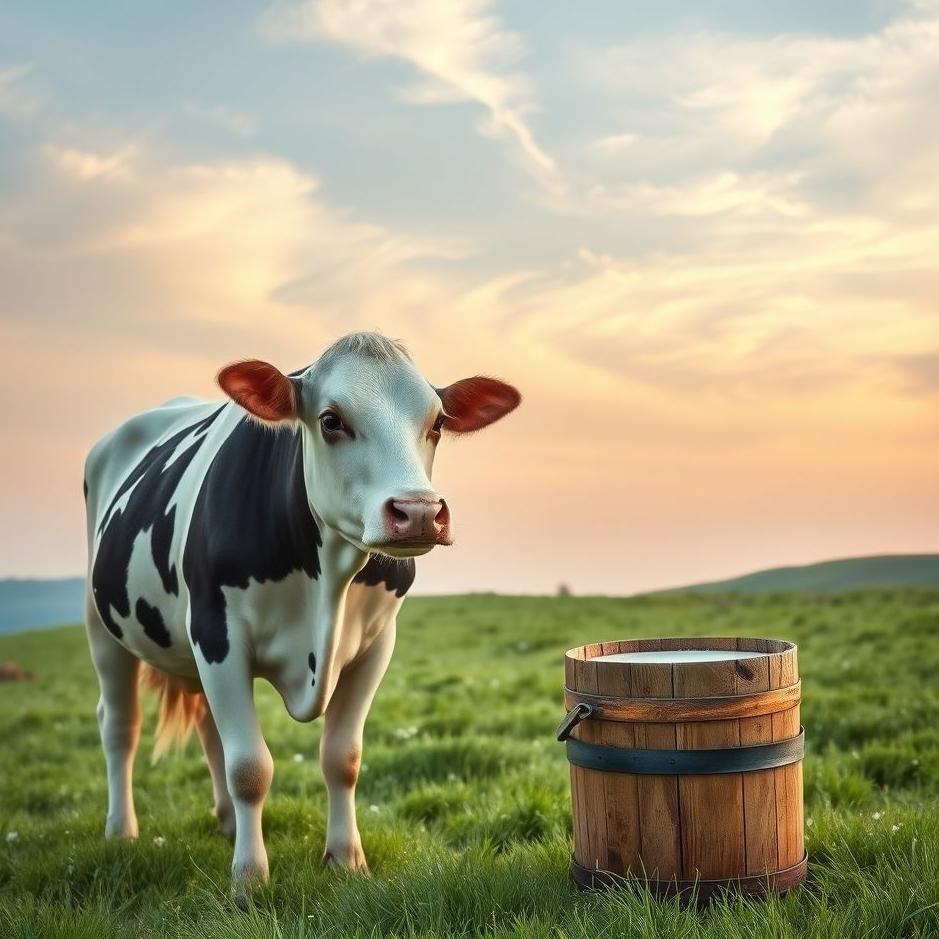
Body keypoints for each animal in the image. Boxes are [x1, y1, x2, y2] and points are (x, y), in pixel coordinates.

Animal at [83, 332, 520, 902]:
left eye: (437, 422)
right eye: (331, 420)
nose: (420, 511)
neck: (326, 585)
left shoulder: (376, 645)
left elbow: (342, 757)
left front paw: (347, 859)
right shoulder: (218, 635)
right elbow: (250, 767)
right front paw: (249, 880)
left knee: (208, 730)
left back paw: (226, 821)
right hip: (102, 625)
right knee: (120, 724)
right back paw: (122, 831)